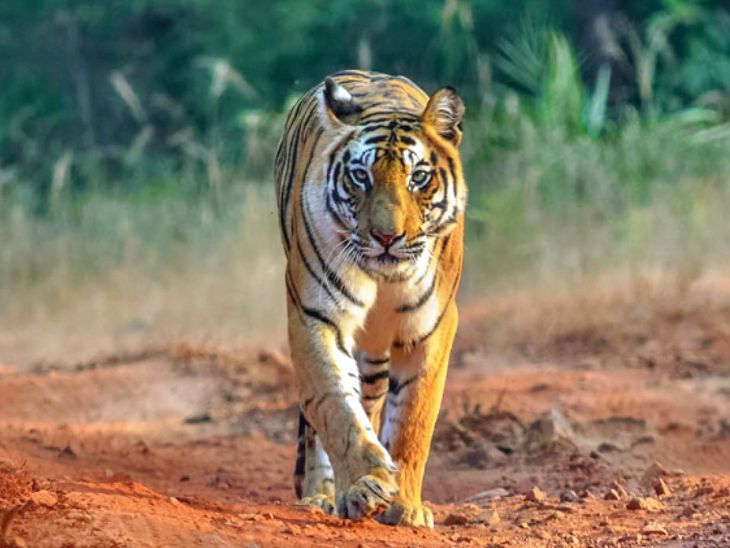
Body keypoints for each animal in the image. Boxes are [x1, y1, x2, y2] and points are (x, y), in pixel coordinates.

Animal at [273, 69, 466, 528]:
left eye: (418, 177)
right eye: (361, 177)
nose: (386, 237)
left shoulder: (431, 328)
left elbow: (414, 418)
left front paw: (406, 508)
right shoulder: (315, 315)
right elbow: (336, 406)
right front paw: (364, 486)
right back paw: (322, 495)